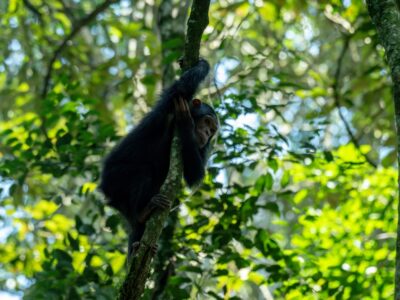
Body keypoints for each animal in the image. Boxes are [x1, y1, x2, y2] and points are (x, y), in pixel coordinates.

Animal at [100, 58, 219, 255]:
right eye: (208, 122)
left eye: (213, 129)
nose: (208, 132)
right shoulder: (170, 104)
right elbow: (180, 88)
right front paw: (202, 64)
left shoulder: (203, 147)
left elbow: (194, 173)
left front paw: (185, 123)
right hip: (113, 179)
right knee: (143, 171)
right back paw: (143, 212)